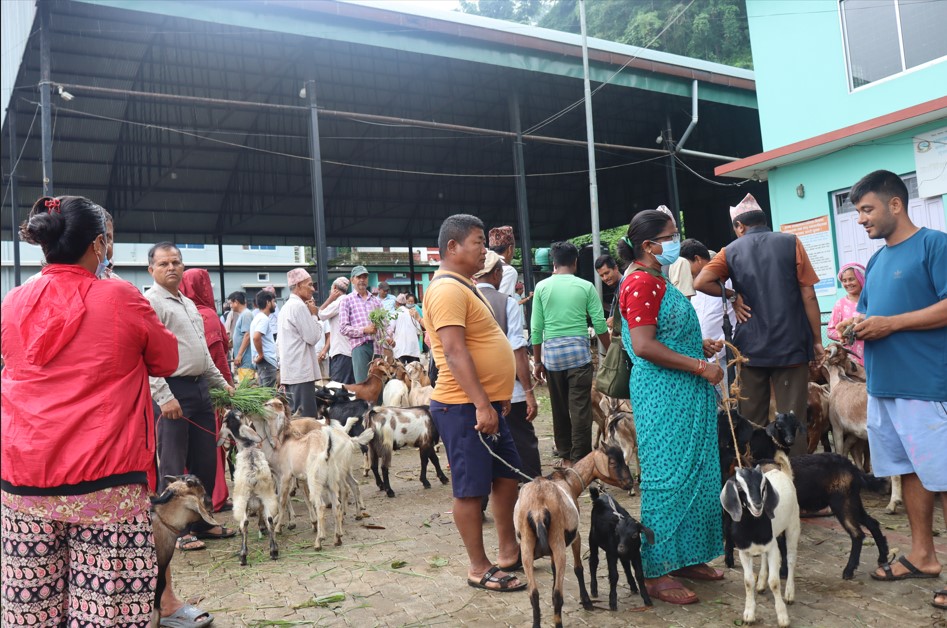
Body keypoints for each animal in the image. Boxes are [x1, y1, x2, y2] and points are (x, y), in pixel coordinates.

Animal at [218, 410, 282, 568]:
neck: (248, 446)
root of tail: (253, 475)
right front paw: (261, 527)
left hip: (241, 499)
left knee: (245, 522)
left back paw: (243, 556)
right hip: (268, 495)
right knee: (270, 519)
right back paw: (274, 551)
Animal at [516, 444, 632, 628]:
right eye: (613, 462)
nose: (630, 483)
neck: (570, 482)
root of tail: (538, 510)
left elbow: (553, 568)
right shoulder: (575, 535)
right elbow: (578, 568)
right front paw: (587, 602)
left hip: (527, 546)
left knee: (533, 594)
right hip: (558, 542)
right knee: (558, 595)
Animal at [724, 452, 796, 628]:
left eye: (763, 486)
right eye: (740, 487)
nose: (757, 505)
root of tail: (782, 472)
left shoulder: (773, 547)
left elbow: (775, 582)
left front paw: (783, 617)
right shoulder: (744, 551)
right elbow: (748, 581)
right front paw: (749, 614)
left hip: (793, 524)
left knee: (791, 558)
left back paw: (789, 593)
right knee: (763, 558)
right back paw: (762, 583)